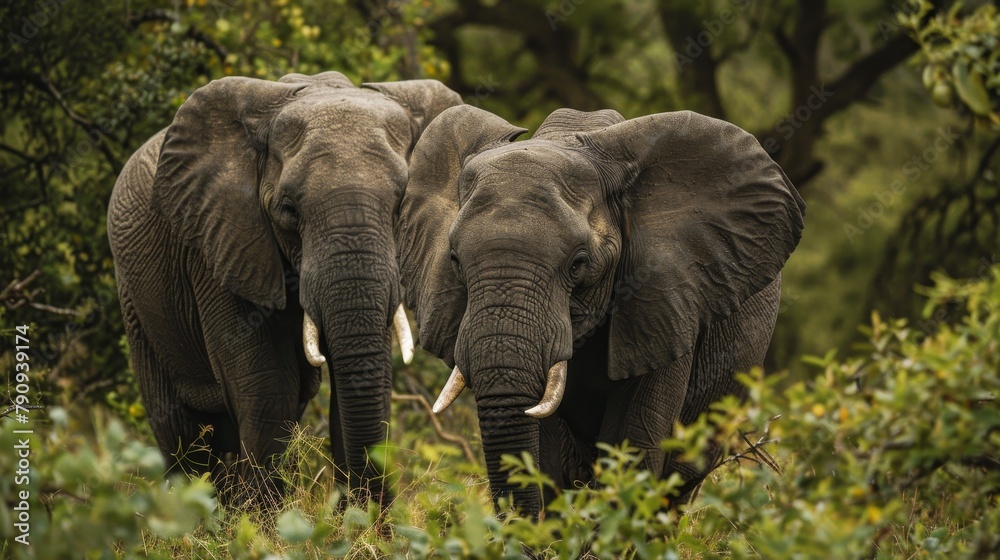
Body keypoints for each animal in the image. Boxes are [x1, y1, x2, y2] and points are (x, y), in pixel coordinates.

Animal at [107, 71, 461, 506]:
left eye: (401, 207)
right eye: (289, 210)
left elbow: (362, 383)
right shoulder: (222, 245)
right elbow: (268, 387)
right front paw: (265, 522)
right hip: (135, 300)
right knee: (179, 430)